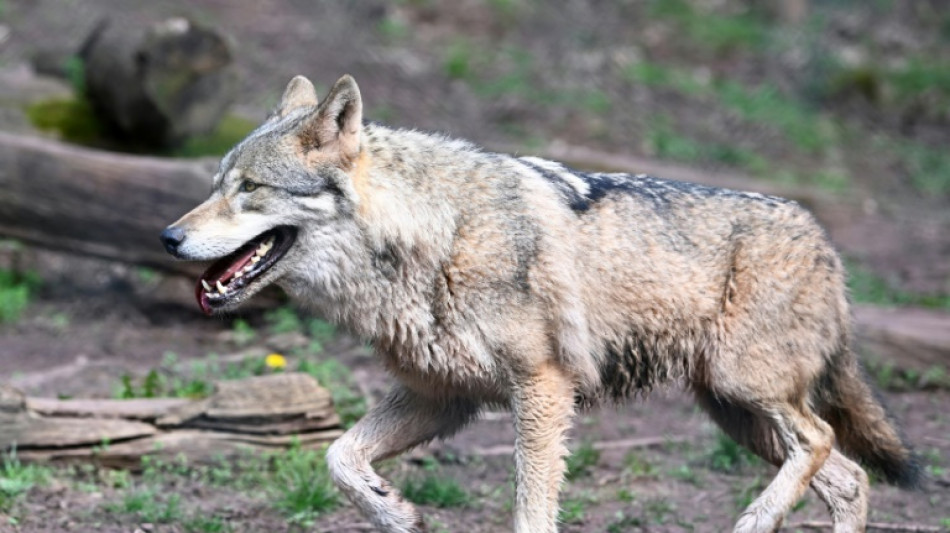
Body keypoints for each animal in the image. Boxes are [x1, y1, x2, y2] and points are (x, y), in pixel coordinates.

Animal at [160, 72, 920, 528]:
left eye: (250, 189)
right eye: (217, 182)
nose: (168, 236)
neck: (439, 236)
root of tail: (826, 244)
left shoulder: (543, 387)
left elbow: (531, 507)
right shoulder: (443, 396)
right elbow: (338, 457)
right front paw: (396, 511)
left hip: (747, 392)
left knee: (824, 442)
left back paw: (757, 518)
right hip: (737, 413)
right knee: (850, 476)